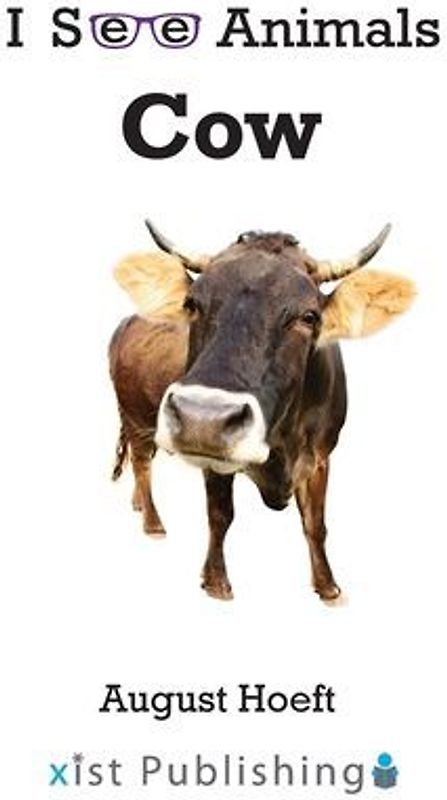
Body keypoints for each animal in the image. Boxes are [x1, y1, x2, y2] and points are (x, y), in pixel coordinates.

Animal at [109, 221, 415, 602]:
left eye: (308, 316)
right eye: (192, 303)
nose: (202, 418)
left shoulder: (321, 456)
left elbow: (315, 524)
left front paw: (328, 587)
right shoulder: (216, 459)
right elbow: (220, 516)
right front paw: (216, 582)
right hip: (135, 416)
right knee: (142, 463)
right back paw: (152, 522)